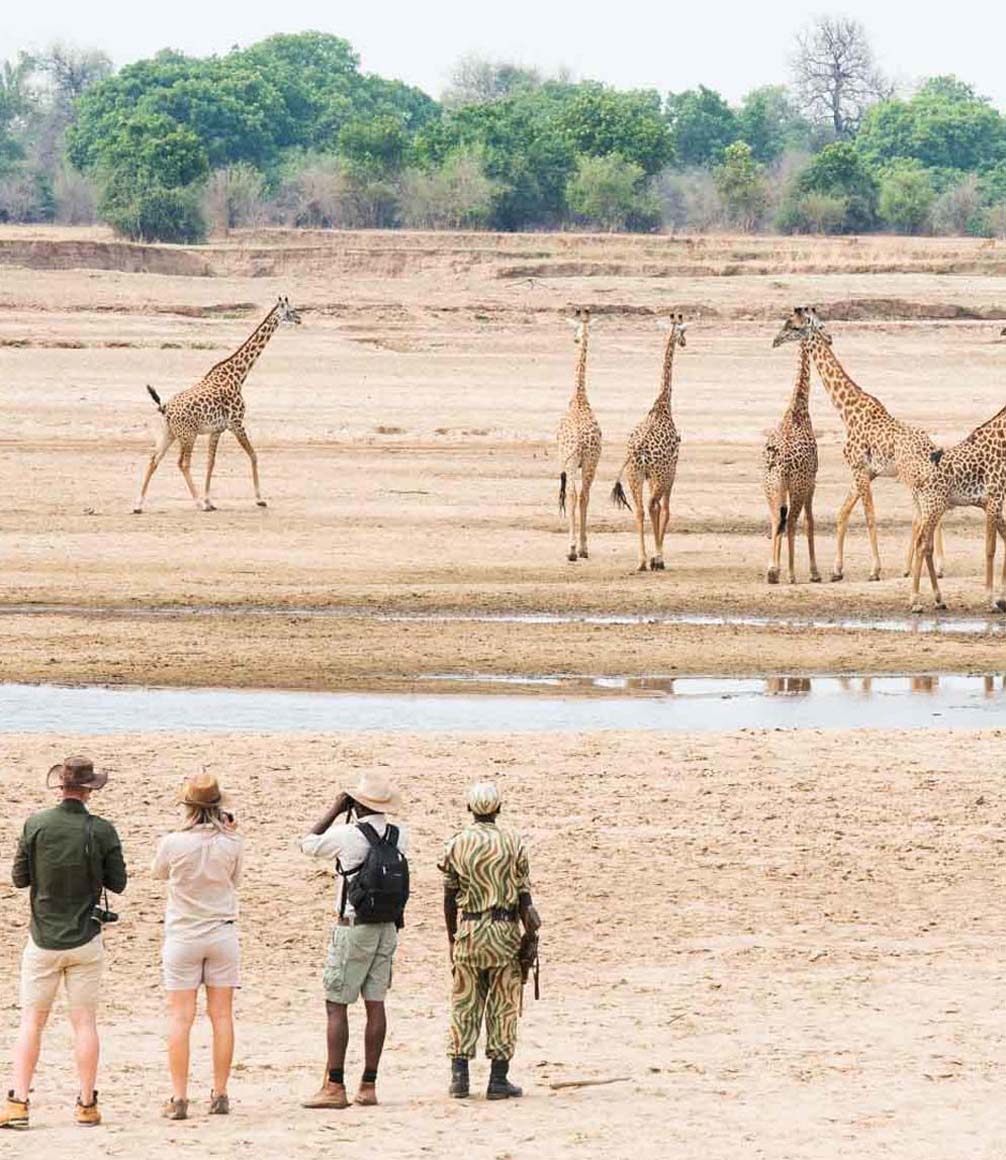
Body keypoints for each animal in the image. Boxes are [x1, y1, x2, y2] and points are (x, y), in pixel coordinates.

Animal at [133, 296, 301, 513]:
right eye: (291, 310)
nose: (299, 319)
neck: (238, 376)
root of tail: (165, 409)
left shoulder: (217, 430)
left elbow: (211, 462)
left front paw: (210, 501)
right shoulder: (236, 423)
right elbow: (253, 455)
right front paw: (259, 499)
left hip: (168, 434)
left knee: (153, 460)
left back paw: (138, 504)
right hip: (188, 435)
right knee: (182, 463)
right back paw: (196, 502)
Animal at [610, 313, 685, 571]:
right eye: (683, 332)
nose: (684, 343)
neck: (663, 404)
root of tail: (639, 452)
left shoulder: (652, 476)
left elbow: (655, 509)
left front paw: (653, 557)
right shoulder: (671, 471)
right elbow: (666, 510)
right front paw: (659, 557)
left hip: (634, 475)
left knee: (640, 510)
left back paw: (642, 560)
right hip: (658, 475)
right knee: (654, 507)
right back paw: (653, 559)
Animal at [771, 307, 945, 582]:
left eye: (795, 326)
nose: (775, 340)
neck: (846, 411)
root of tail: (933, 450)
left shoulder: (860, 468)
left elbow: (869, 516)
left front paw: (875, 570)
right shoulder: (865, 471)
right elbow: (842, 513)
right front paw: (836, 570)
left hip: (912, 478)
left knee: (925, 514)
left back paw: (928, 567)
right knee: (927, 514)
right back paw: (923, 567)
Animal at [909, 405, 1006, 613]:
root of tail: (915, 480)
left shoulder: (992, 504)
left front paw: (1002, 598)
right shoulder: (994, 500)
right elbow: (990, 549)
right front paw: (991, 600)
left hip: (925, 509)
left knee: (927, 546)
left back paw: (939, 599)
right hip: (933, 507)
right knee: (921, 543)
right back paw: (915, 601)